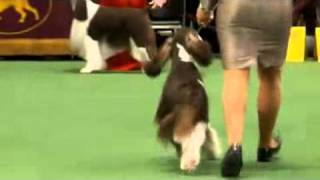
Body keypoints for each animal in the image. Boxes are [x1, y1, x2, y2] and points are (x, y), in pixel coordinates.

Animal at [144, 27, 221, 172]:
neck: (183, 61)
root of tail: (191, 96)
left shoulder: (166, 118)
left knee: (188, 141)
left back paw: (188, 163)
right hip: (200, 119)